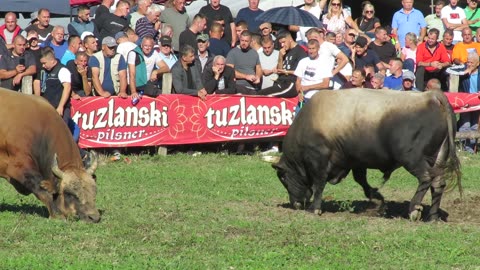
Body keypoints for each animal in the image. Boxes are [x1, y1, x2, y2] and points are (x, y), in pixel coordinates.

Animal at [0, 88, 100, 221]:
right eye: (70, 193)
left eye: (95, 191)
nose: (94, 217)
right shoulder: (18, 167)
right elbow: (42, 188)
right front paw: (56, 214)